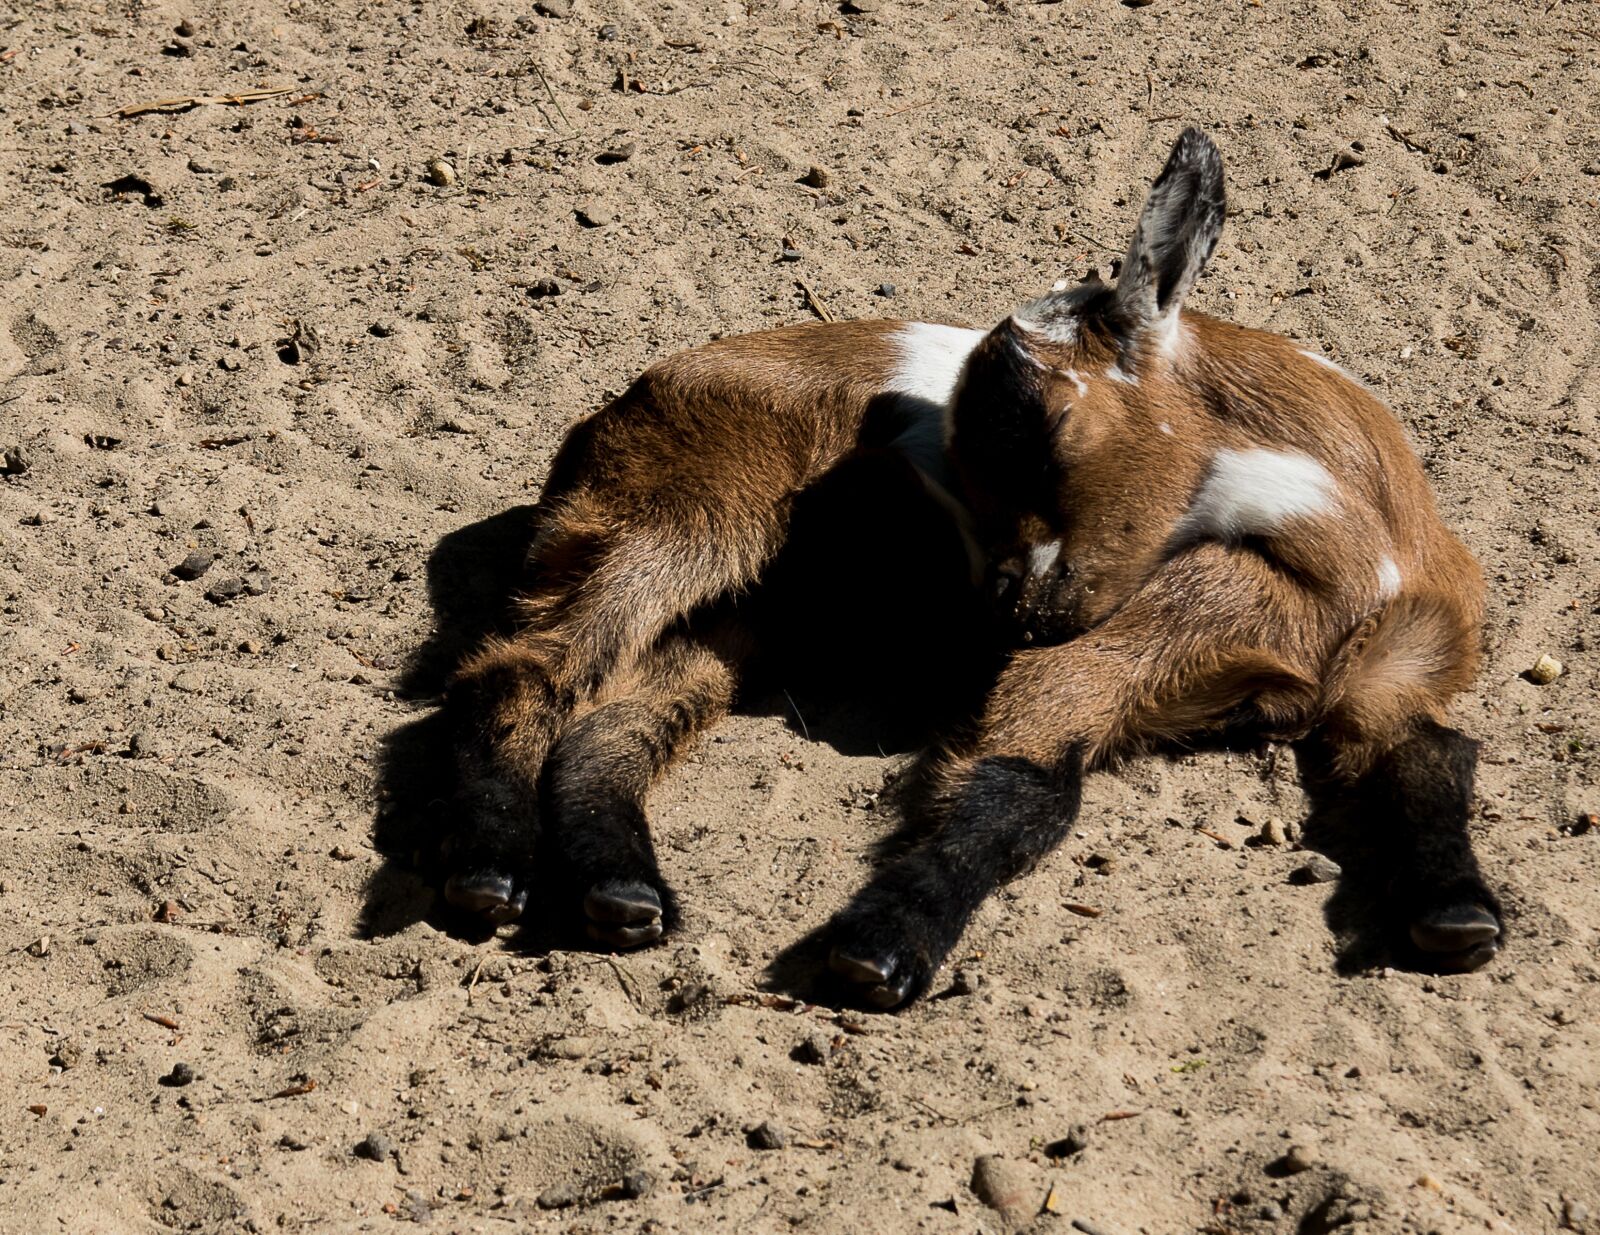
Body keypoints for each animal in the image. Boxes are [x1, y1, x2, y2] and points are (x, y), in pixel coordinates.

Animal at [434, 128, 1500, 1009]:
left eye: (1044, 429)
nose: (1008, 609)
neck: (1356, 561)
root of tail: (611, 413)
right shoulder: (1114, 642)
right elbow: (1022, 784)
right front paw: (880, 950)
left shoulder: (1395, 673)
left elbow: (1435, 751)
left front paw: (1458, 916)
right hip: (679, 514)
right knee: (527, 664)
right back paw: (488, 878)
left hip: (733, 618)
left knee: (610, 722)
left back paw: (619, 895)